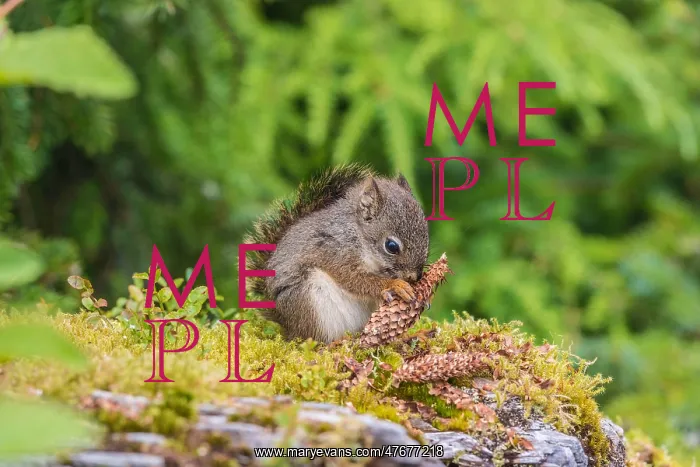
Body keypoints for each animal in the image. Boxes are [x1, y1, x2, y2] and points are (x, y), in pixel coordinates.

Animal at [243, 164, 429, 343]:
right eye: (391, 246)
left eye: (426, 234)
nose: (415, 277)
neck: (358, 235)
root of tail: (287, 326)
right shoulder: (335, 252)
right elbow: (353, 279)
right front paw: (393, 285)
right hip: (308, 302)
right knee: (313, 340)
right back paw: (338, 341)